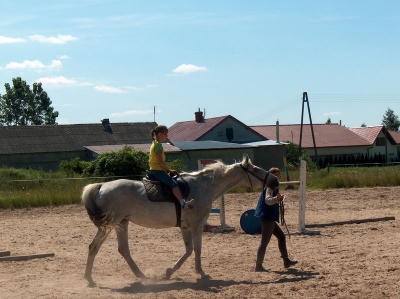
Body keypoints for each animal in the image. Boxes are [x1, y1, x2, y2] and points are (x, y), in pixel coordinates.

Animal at [81, 154, 268, 288]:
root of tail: (102, 186)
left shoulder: (185, 227)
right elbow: (197, 249)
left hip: (122, 223)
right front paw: (201, 272)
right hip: (110, 225)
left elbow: (189, 250)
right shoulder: (197, 225)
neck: (203, 187)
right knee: (94, 247)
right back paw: (89, 279)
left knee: (123, 250)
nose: (273, 179)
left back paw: (142, 276)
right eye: (256, 169)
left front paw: (169, 272)